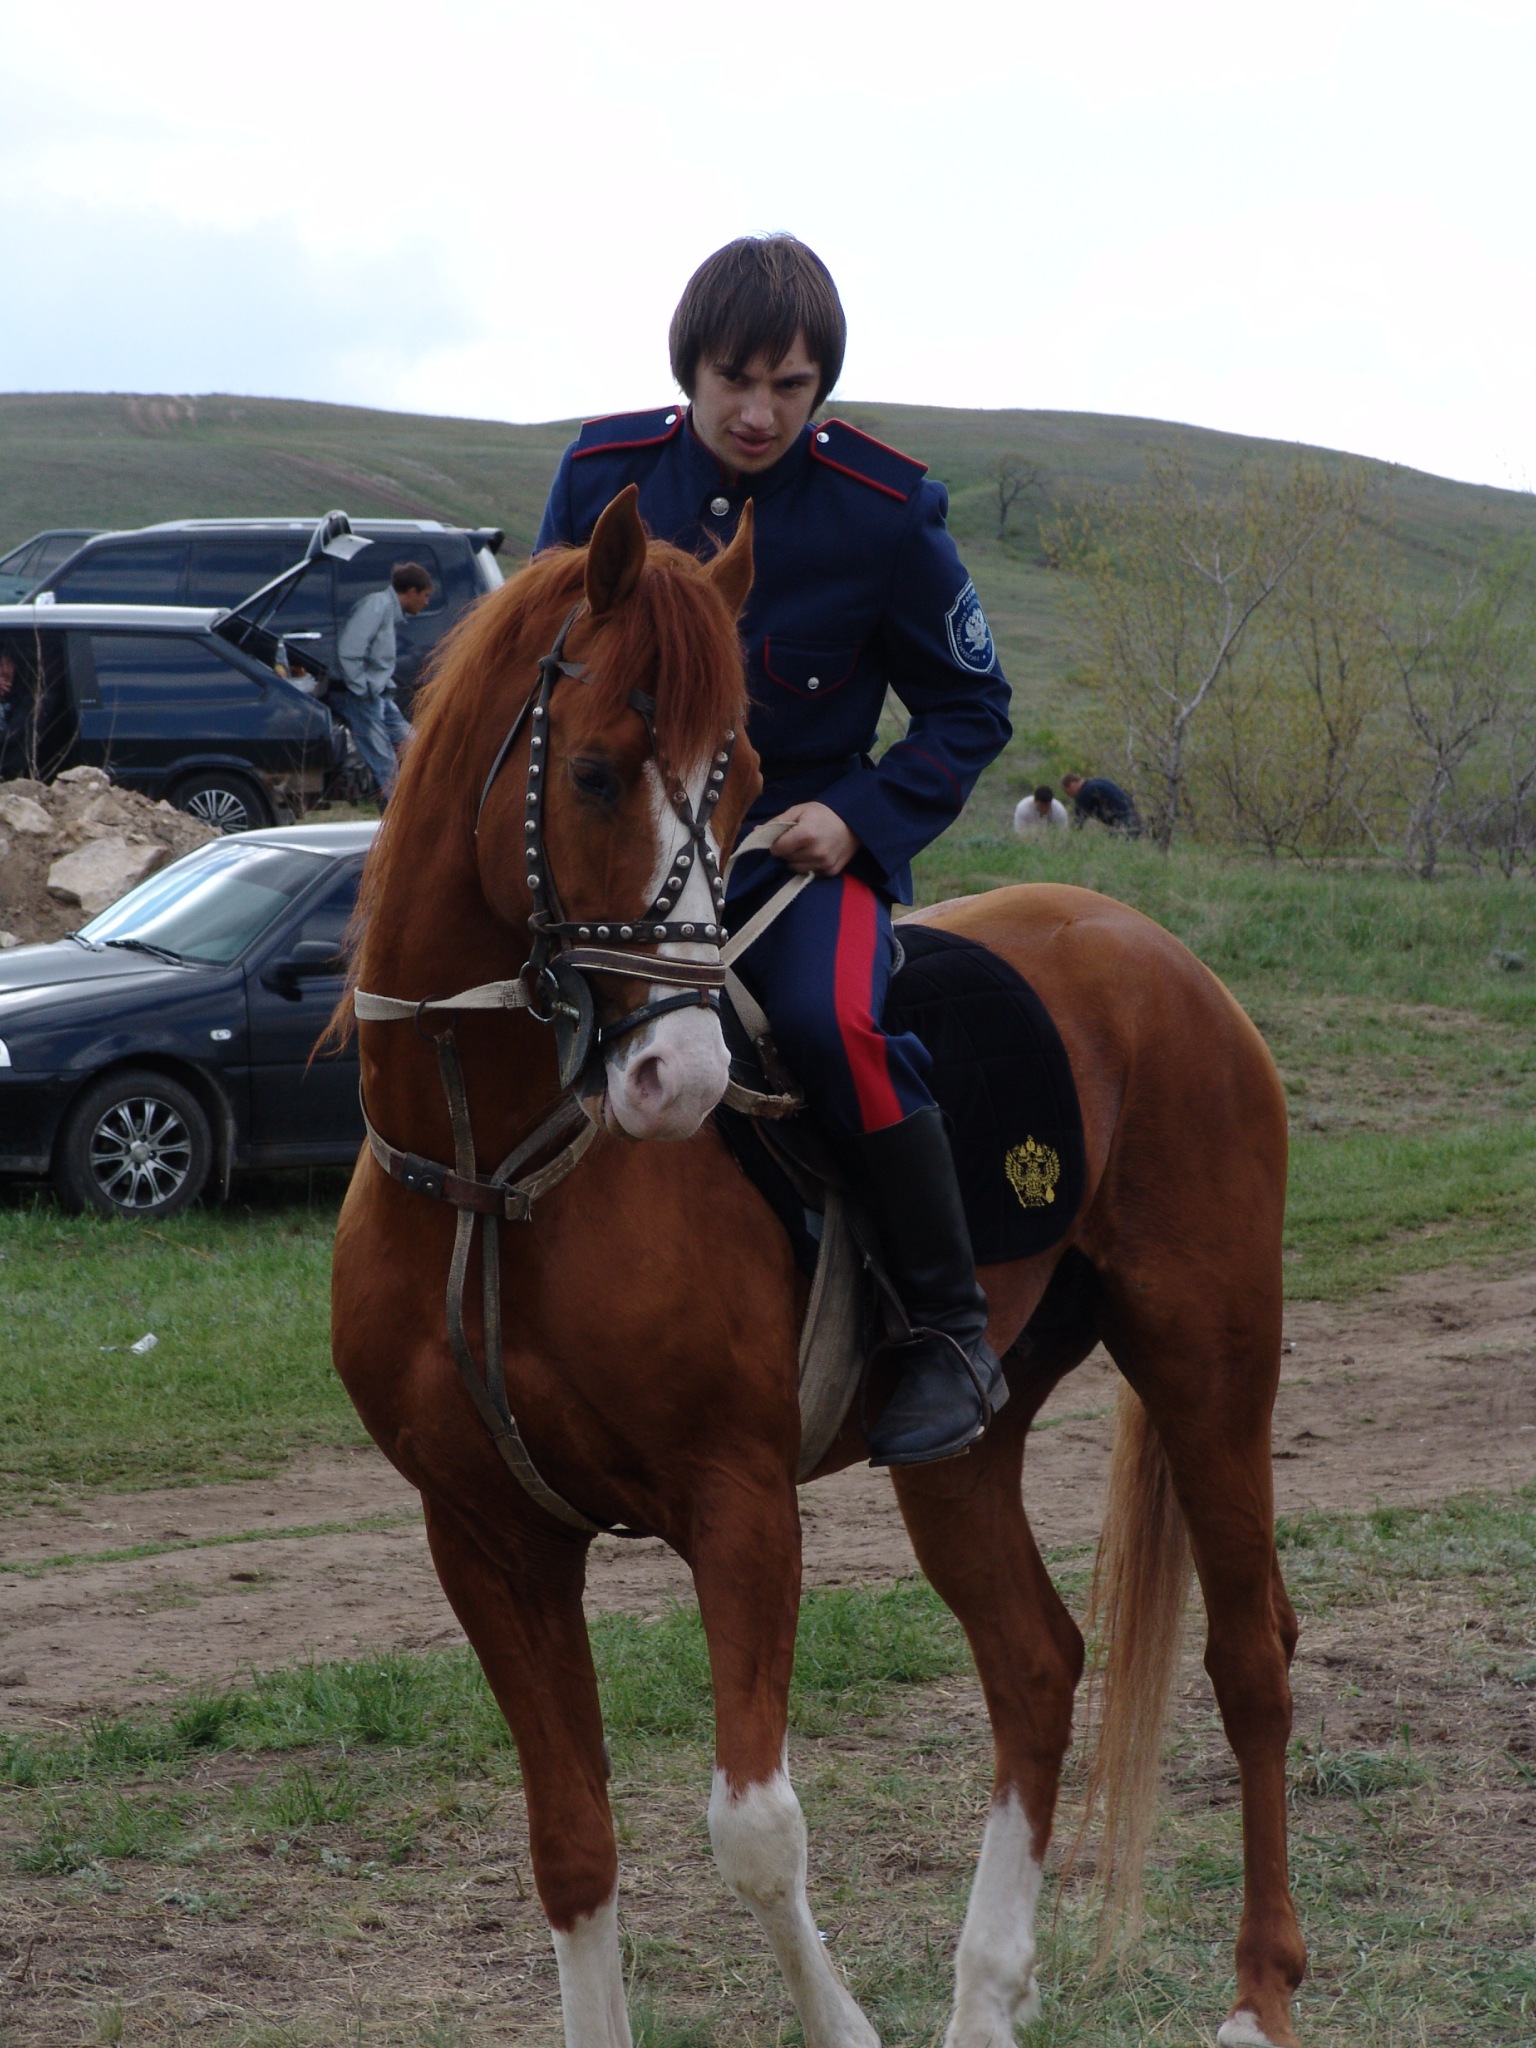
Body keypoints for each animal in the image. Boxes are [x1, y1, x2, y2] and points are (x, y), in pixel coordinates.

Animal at [330, 486, 1305, 2048]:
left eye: (740, 779)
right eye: (591, 774)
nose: (677, 1077)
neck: (495, 1172)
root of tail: (1154, 952)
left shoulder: (738, 1504)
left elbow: (753, 1828)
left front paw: (840, 2021)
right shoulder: (485, 1536)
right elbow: (571, 1844)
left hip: (1209, 1360)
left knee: (1249, 1657)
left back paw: (1258, 1997)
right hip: (961, 1443)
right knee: (1036, 1663)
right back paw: (985, 1999)